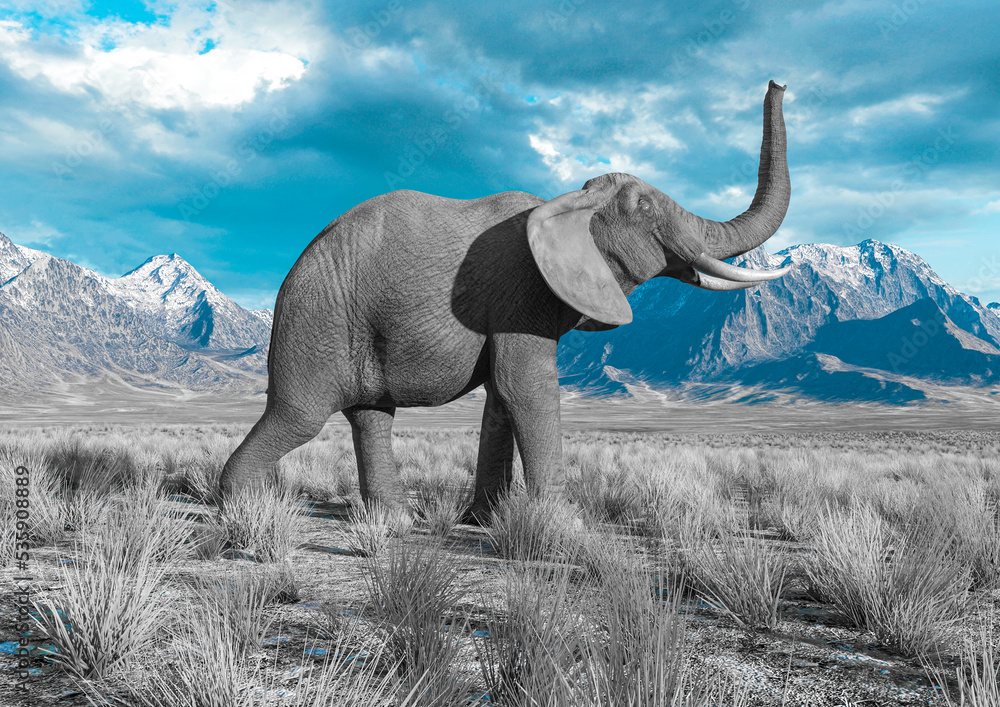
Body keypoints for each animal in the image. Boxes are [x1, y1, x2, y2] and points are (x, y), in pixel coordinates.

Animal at [219, 80, 792, 524]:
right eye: (646, 208)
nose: (778, 82)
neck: (568, 202)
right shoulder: (521, 287)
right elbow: (527, 386)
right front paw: (565, 529)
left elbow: (501, 395)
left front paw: (484, 520)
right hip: (318, 318)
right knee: (300, 416)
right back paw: (244, 510)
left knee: (371, 416)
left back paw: (395, 522)